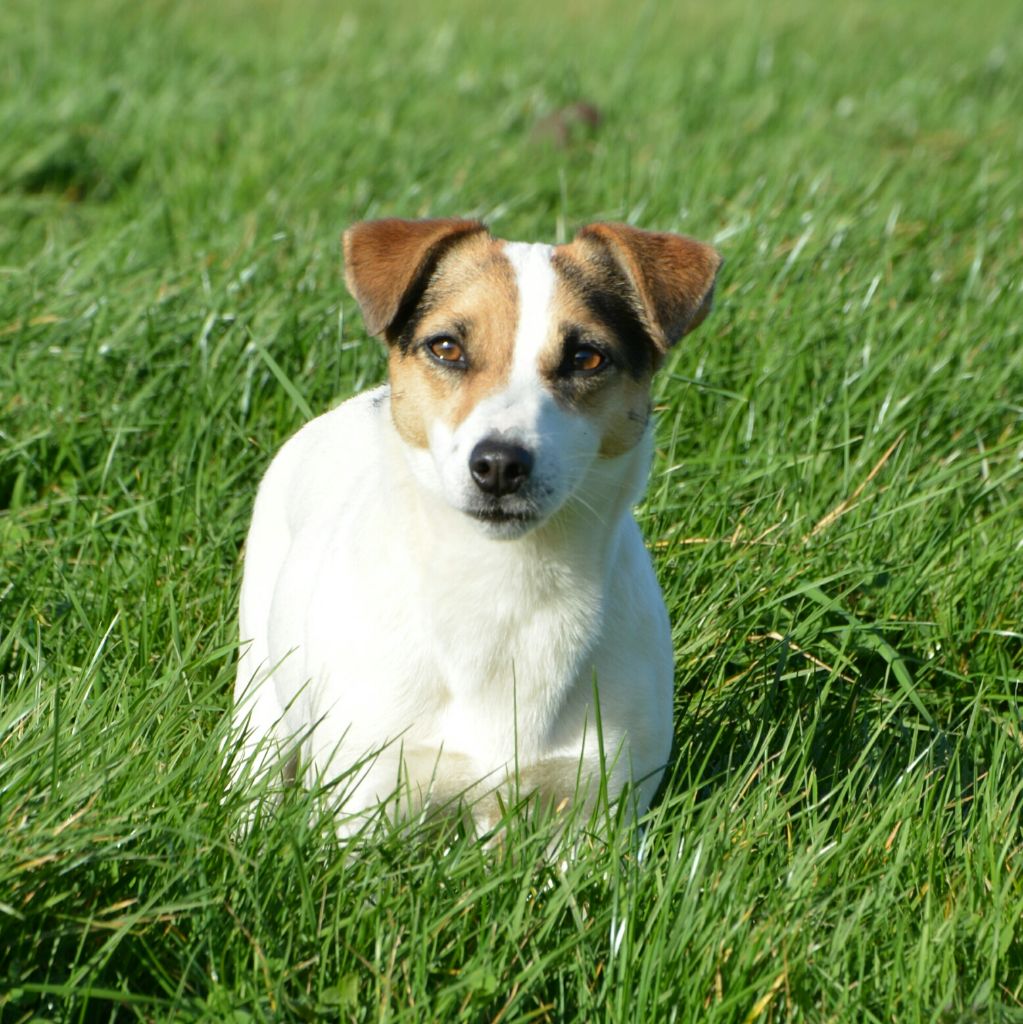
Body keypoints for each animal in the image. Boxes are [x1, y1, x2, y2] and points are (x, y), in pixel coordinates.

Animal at [235, 220, 725, 835]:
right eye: (446, 347)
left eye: (586, 358)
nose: (498, 464)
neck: (502, 582)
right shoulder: (364, 799)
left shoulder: (598, 806)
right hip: (261, 698)